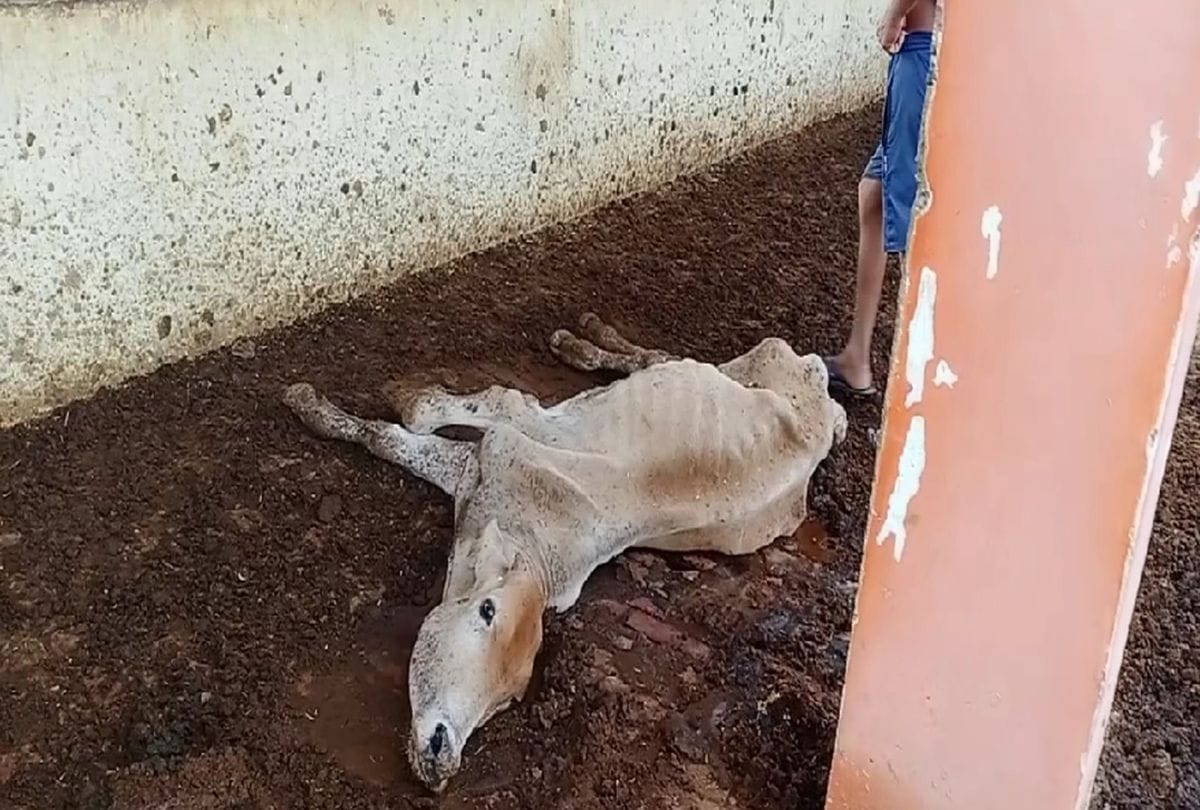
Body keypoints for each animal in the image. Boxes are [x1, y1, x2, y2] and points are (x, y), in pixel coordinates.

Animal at [281, 313, 847, 793]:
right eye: (486, 611)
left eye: (510, 698)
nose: (443, 752)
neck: (543, 533)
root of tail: (822, 398)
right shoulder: (504, 439)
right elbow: (418, 419)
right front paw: (321, 400)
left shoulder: (477, 464)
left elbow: (395, 434)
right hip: (745, 364)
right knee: (656, 359)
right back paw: (584, 339)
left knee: (658, 359)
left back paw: (584, 340)